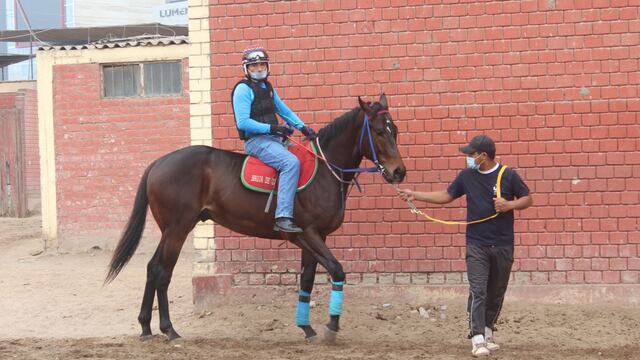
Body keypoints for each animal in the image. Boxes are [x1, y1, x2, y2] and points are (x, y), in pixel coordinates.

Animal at [104, 94, 404, 344]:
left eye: (395, 130)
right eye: (379, 131)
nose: (399, 172)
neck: (323, 169)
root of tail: (158, 163)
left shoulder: (316, 237)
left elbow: (307, 280)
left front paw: (307, 328)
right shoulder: (306, 233)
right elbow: (337, 270)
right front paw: (331, 326)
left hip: (170, 231)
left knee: (152, 268)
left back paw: (146, 327)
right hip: (177, 229)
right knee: (162, 271)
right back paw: (169, 329)